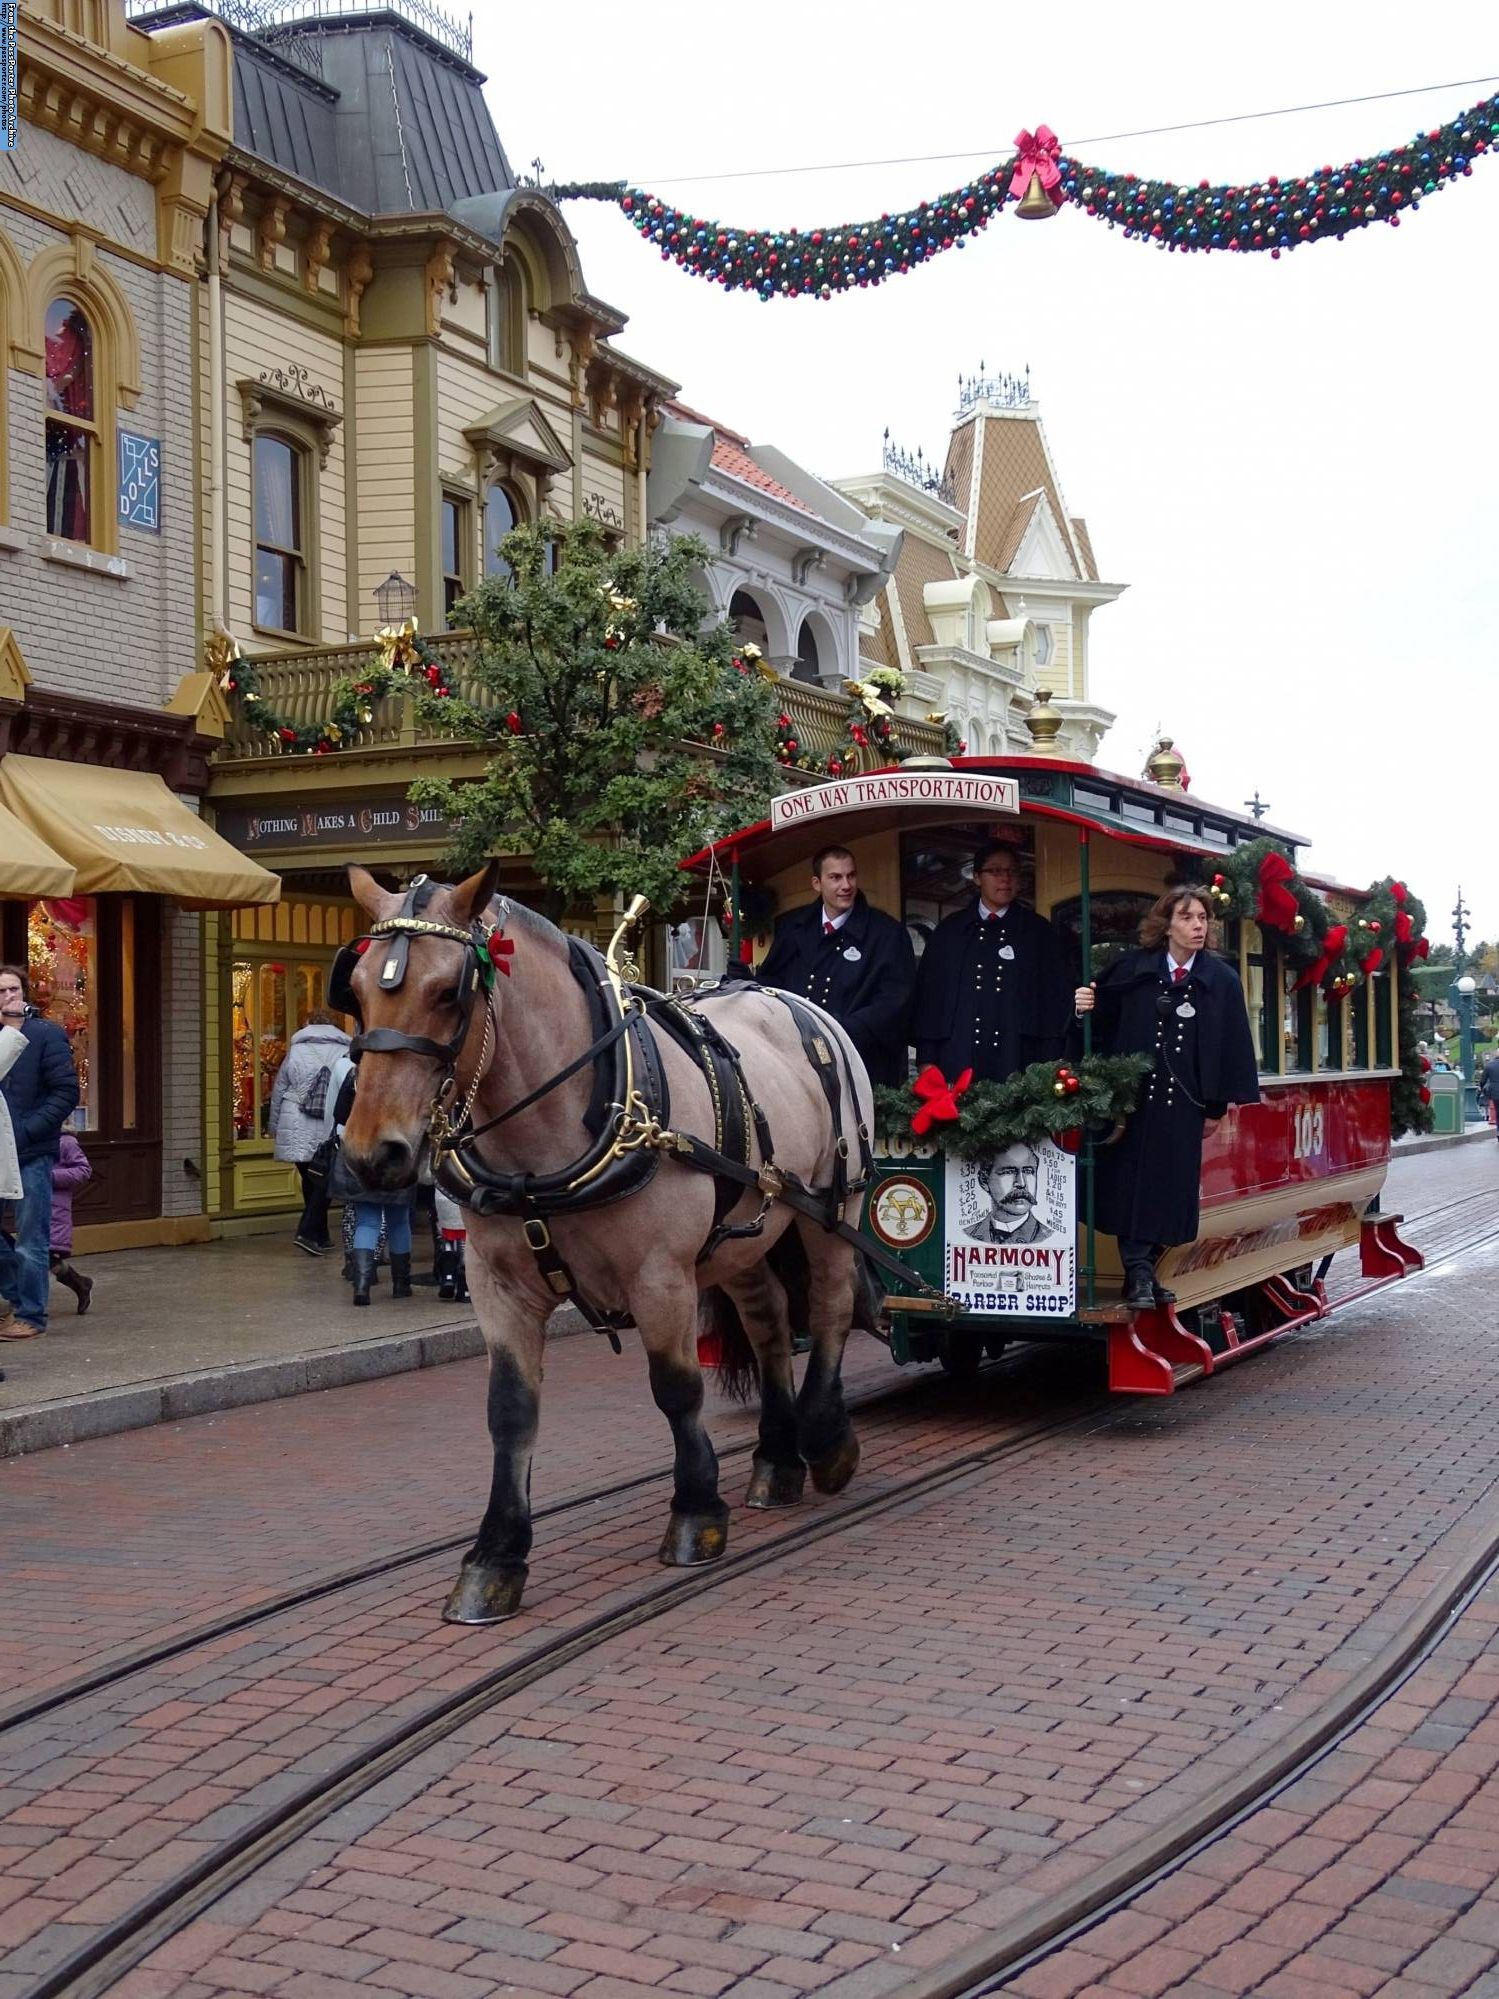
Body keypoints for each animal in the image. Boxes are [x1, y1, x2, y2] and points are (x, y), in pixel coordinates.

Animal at [337, 863, 879, 1623]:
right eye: (355, 991)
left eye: (448, 992)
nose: (370, 1154)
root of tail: (798, 1004)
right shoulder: (498, 1286)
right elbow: (509, 1410)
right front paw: (494, 1556)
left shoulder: (661, 1277)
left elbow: (676, 1389)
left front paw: (695, 1511)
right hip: (742, 1234)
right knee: (770, 1321)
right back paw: (776, 1460)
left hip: (831, 1208)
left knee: (830, 1306)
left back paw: (827, 1443)